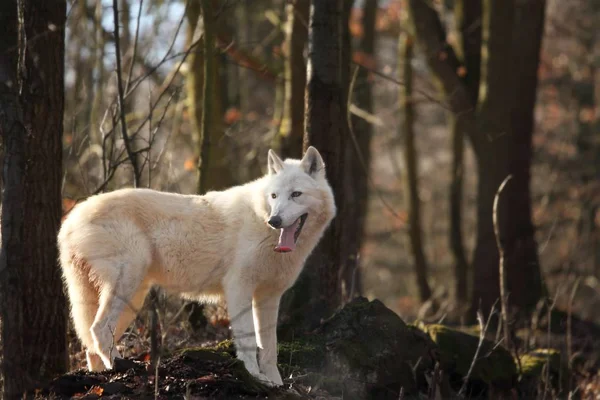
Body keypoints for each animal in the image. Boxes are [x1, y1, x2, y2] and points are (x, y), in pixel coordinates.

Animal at [56, 146, 336, 384]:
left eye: (296, 194)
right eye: (274, 196)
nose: (274, 220)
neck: (263, 224)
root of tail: (71, 219)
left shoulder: (269, 297)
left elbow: (269, 349)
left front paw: (276, 384)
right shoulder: (239, 289)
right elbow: (247, 342)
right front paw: (254, 377)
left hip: (131, 297)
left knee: (92, 342)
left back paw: (103, 376)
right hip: (127, 287)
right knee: (99, 331)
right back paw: (123, 368)